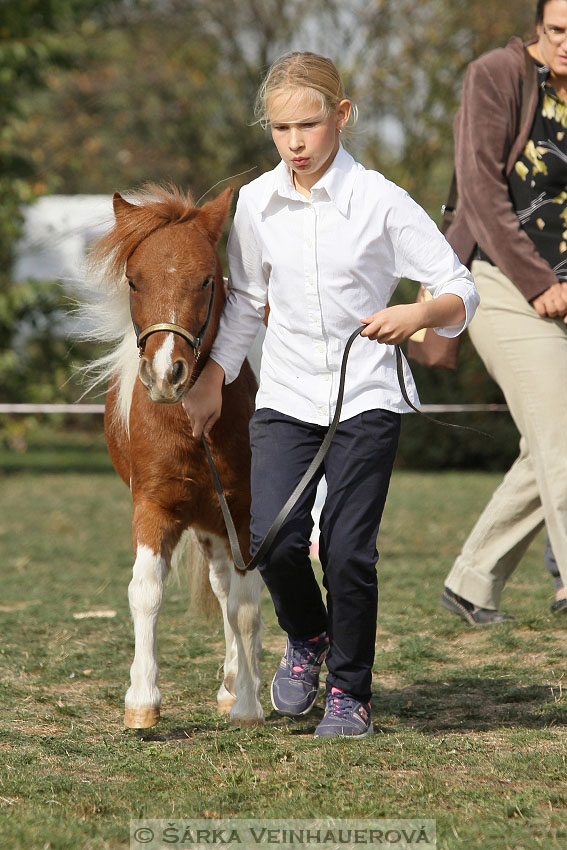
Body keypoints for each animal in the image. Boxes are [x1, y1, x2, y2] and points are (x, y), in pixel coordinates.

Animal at [87, 187, 266, 728]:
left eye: (207, 279)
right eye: (133, 280)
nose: (167, 373)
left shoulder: (246, 512)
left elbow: (247, 608)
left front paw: (248, 705)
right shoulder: (154, 506)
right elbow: (145, 591)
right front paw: (142, 701)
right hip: (209, 524)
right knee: (223, 587)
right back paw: (229, 683)